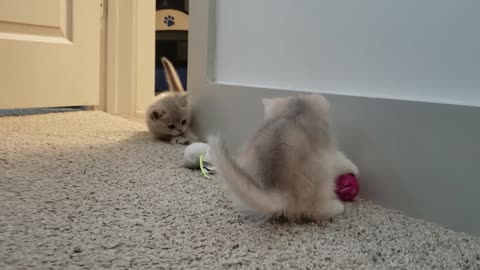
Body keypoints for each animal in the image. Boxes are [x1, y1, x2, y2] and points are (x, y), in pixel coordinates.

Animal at [208, 94, 358, 220]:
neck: (293, 113)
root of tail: (280, 188)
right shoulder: (331, 152)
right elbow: (343, 160)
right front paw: (355, 169)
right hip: (323, 176)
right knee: (315, 210)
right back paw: (337, 206)